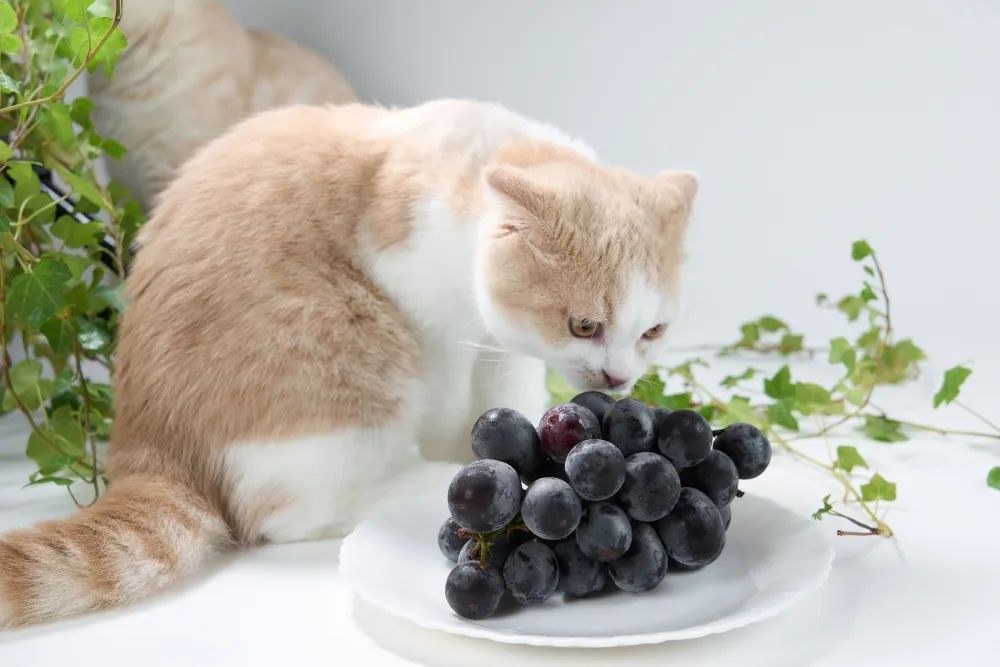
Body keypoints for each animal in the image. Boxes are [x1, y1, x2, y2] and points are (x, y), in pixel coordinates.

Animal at [0, 99, 700, 632]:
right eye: (584, 325)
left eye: (653, 331)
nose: (618, 378)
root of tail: (148, 442)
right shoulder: (422, 309)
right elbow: (453, 400)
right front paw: (487, 467)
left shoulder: (499, 347)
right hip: (354, 368)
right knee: (288, 511)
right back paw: (422, 482)